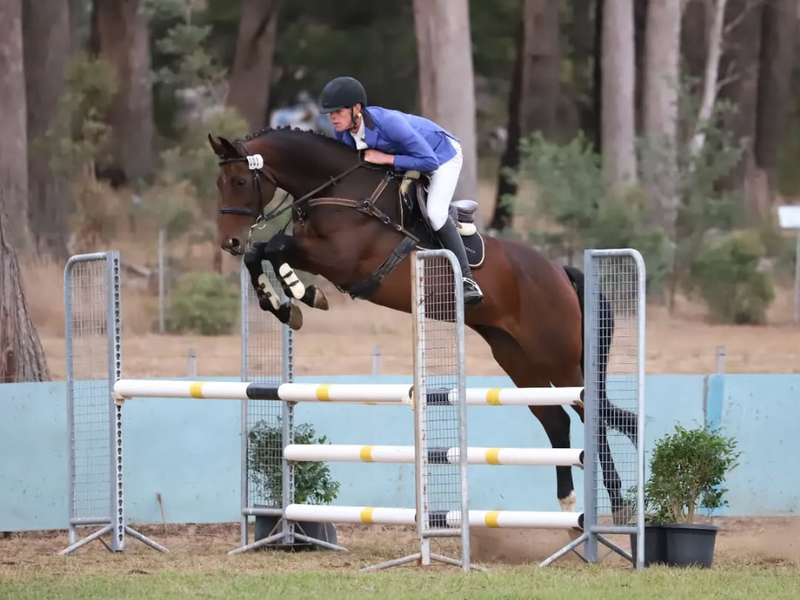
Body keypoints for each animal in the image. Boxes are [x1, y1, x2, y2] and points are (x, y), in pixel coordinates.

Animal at [208, 126, 638, 523]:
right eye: (219, 183)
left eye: (241, 181)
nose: (229, 242)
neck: (340, 191)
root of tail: (561, 272)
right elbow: (261, 253)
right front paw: (282, 303)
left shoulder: (340, 259)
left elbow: (274, 247)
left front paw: (302, 293)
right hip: (517, 359)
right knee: (557, 420)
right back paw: (568, 505)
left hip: (558, 359)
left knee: (592, 415)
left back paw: (618, 506)